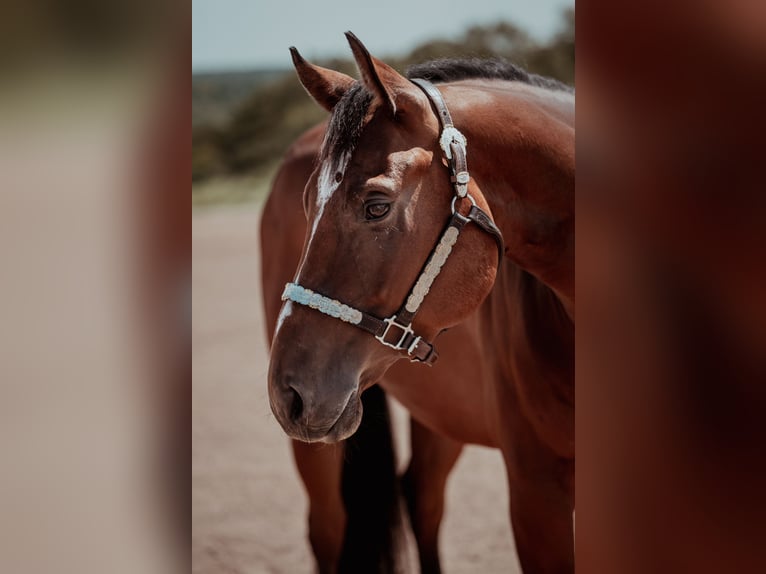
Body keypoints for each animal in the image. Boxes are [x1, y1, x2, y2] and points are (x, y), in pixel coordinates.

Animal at [262, 32, 574, 573]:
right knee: (329, 528)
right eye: (306, 207)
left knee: (422, 497)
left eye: (377, 206)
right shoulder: (538, 495)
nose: (288, 394)